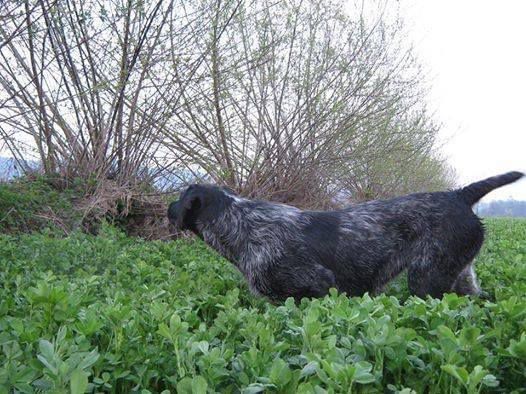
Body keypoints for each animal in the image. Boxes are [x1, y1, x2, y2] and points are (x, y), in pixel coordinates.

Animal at [168, 172, 524, 302]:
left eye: (179, 197)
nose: (167, 209)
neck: (243, 225)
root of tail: (459, 195)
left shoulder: (319, 286)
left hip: (427, 281)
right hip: (462, 280)